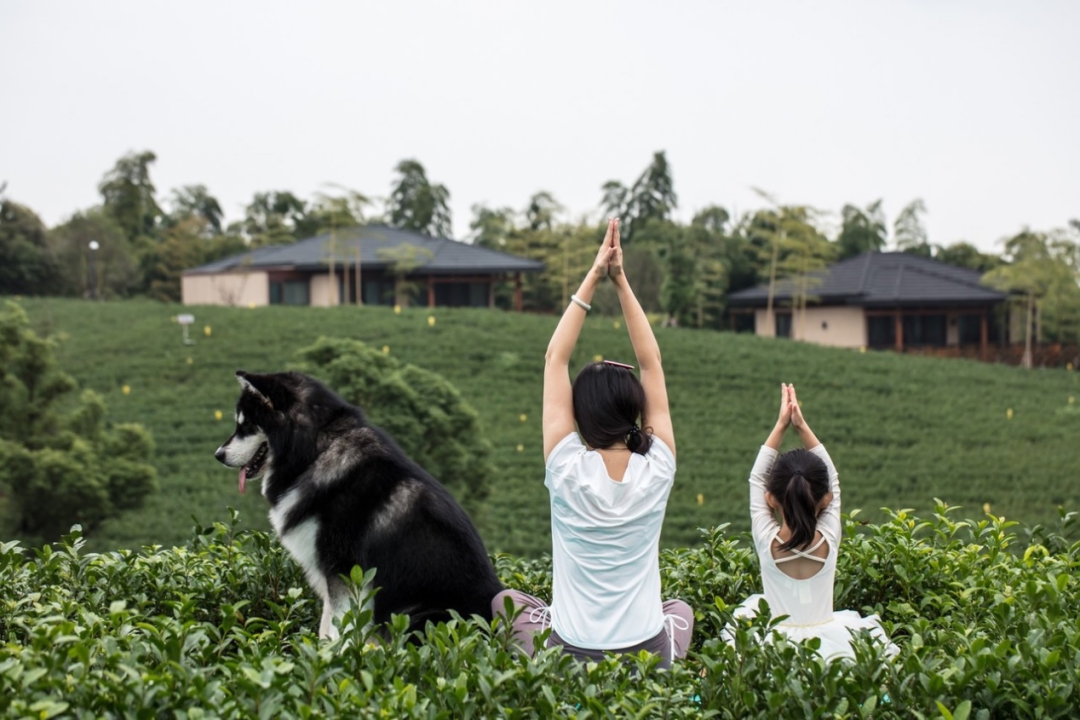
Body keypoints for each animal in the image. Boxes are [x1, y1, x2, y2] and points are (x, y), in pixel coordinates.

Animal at [214, 370, 504, 639]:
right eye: (239, 424)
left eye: (247, 426)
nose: (218, 455)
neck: (316, 451)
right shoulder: (330, 576)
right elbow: (326, 628)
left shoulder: (346, 571)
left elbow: (339, 630)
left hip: (421, 618)